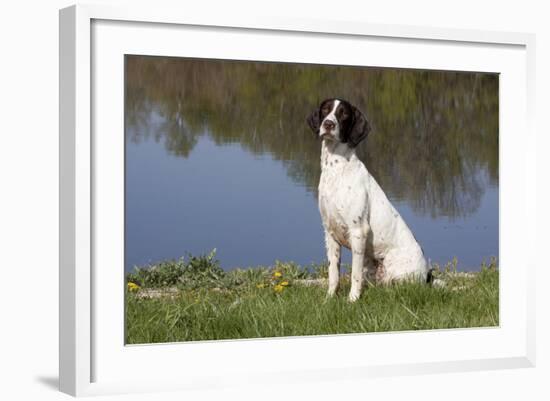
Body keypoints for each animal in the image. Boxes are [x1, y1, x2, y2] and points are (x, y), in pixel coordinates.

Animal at [306, 99, 432, 300]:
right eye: (325, 110)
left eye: (344, 114)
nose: (328, 124)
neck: (336, 169)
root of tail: (427, 274)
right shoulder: (329, 233)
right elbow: (333, 273)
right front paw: (330, 298)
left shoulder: (358, 231)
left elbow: (354, 275)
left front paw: (352, 300)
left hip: (398, 276)